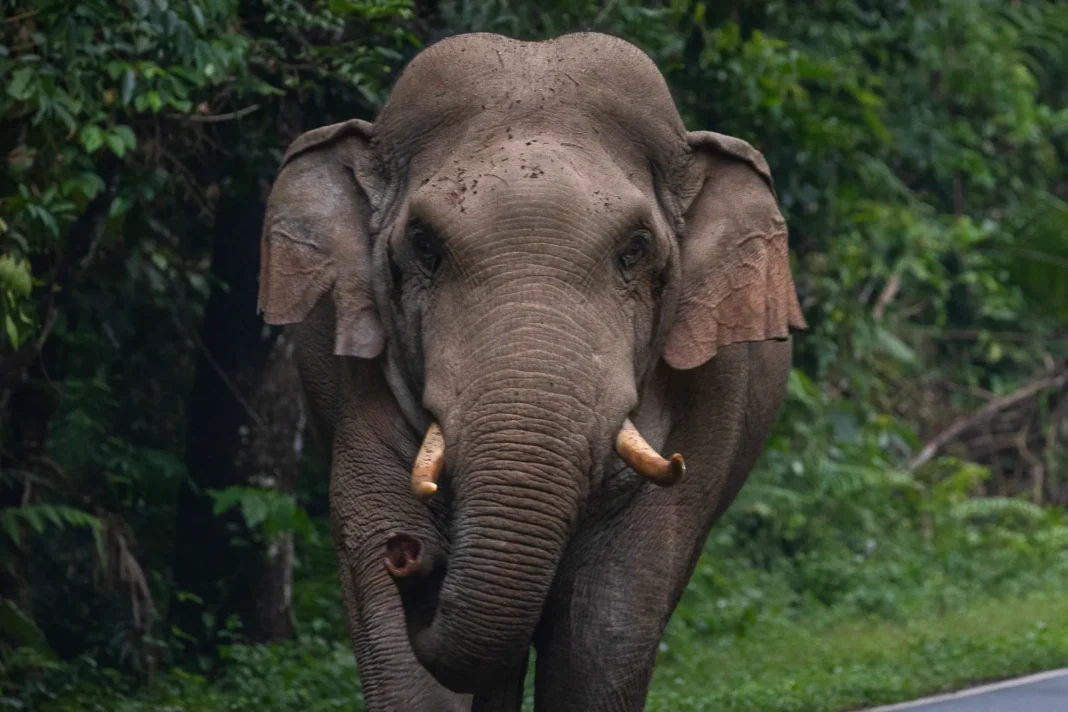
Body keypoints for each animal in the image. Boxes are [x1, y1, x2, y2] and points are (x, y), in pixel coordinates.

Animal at [258, 31, 806, 712]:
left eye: (635, 250)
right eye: (424, 246)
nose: (411, 559)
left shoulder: (708, 395)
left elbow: (610, 618)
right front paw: (397, 545)